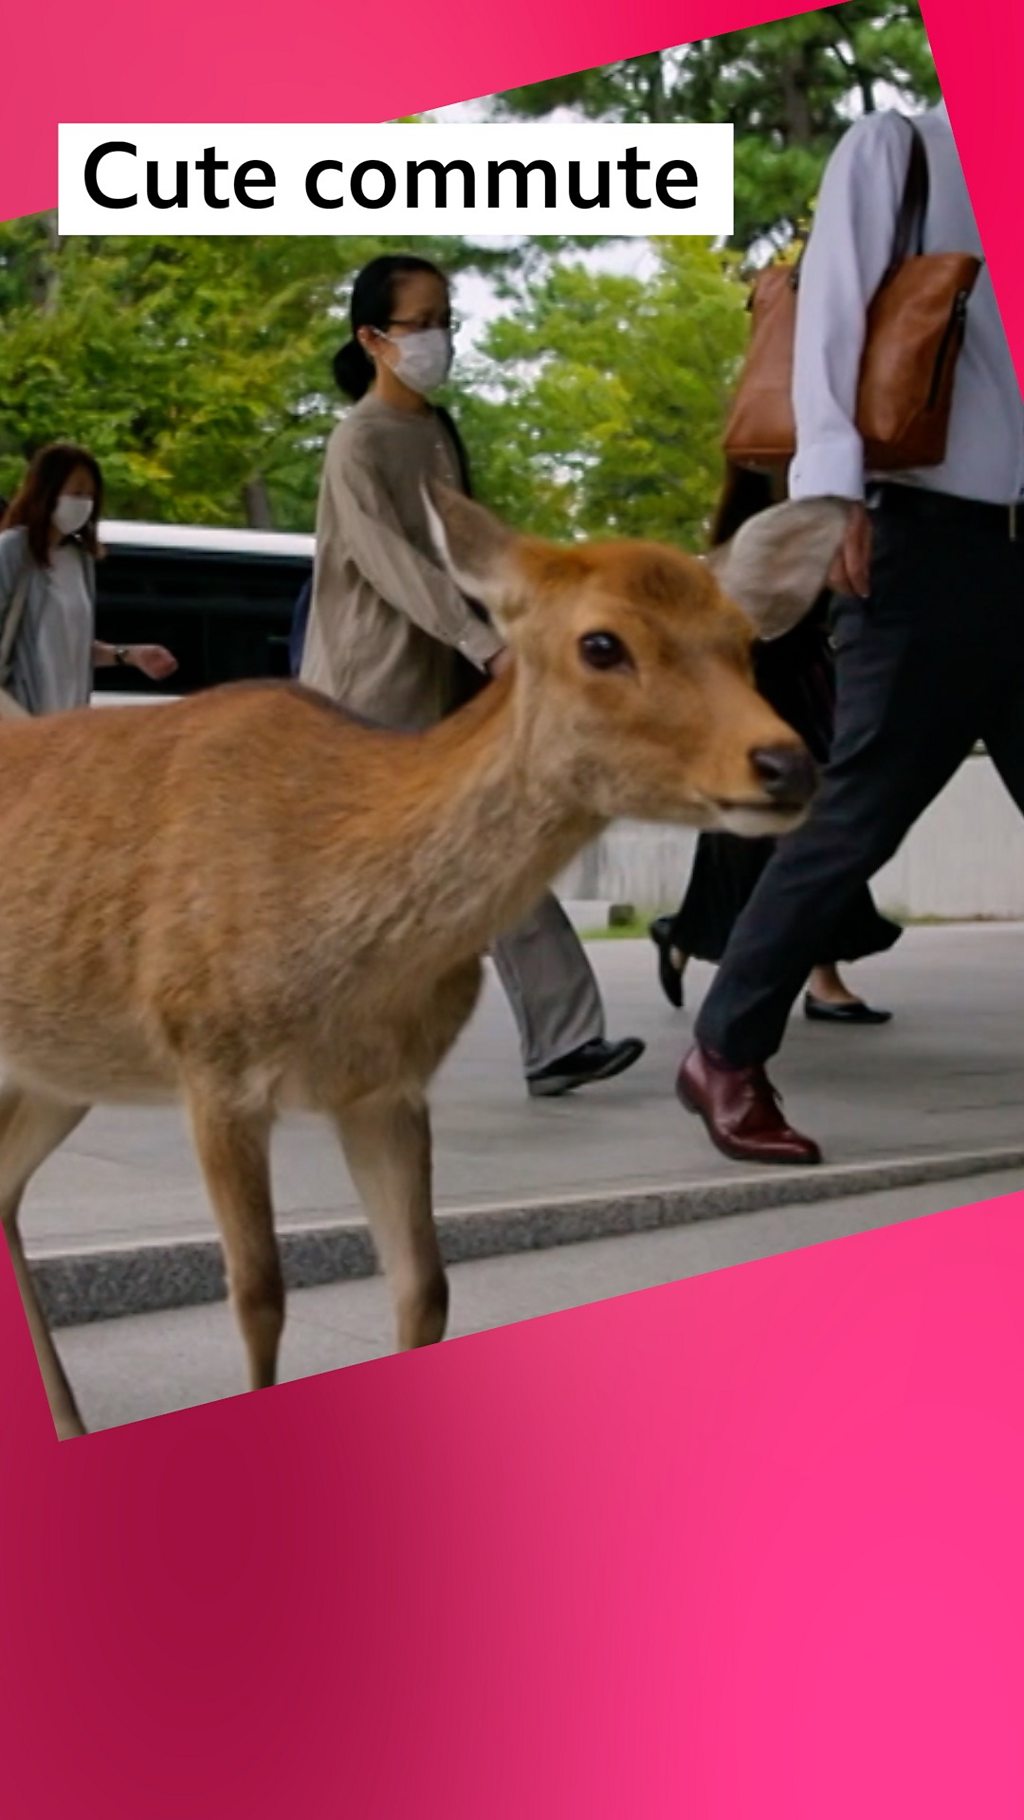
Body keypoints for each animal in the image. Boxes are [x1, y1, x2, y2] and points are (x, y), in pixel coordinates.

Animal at [0, 484, 851, 1434]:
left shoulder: (388, 1089)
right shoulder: (209, 1060)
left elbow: (426, 1291)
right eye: (601, 643)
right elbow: (258, 1296)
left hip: (63, 1067)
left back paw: (69, 1422)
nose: (786, 764)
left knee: (4, 1191)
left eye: (741, 640)